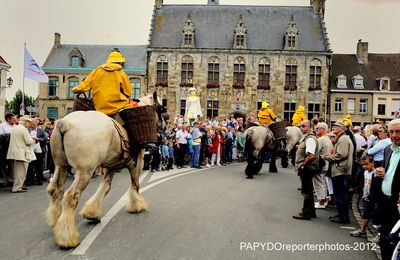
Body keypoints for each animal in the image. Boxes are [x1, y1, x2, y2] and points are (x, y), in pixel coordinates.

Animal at [46, 91, 165, 248]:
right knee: (70, 197)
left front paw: (91, 212)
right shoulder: (137, 163)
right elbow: (135, 185)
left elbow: (105, 187)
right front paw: (137, 205)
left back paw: (56, 221)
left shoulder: (112, 166)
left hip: (62, 166)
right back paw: (67, 237)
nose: (163, 127)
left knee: (55, 190)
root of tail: (65, 123)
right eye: (161, 109)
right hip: (85, 172)